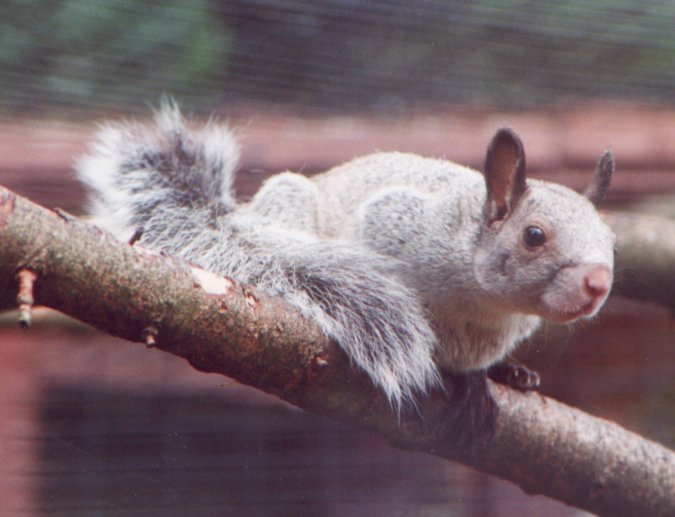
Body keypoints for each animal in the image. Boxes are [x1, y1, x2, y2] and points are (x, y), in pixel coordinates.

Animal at [76, 102, 615, 420]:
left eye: (611, 240)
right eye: (534, 235)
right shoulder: (389, 223)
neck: (484, 306)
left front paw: (496, 375)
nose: (598, 282)